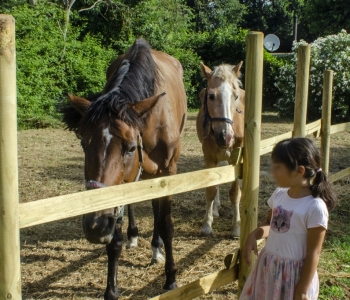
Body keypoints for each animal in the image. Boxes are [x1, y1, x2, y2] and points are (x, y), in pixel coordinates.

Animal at [63, 38, 189, 298]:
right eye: (83, 143)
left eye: (131, 147)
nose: (96, 226)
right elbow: (115, 239)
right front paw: (111, 290)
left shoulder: (169, 171)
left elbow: (166, 224)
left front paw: (171, 278)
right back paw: (135, 236)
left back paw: (156, 247)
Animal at [196, 62, 245, 238]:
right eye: (211, 96)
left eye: (235, 96)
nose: (225, 136)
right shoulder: (209, 156)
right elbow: (211, 188)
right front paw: (207, 224)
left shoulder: (238, 157)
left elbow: (235, 192)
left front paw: (236, 227)